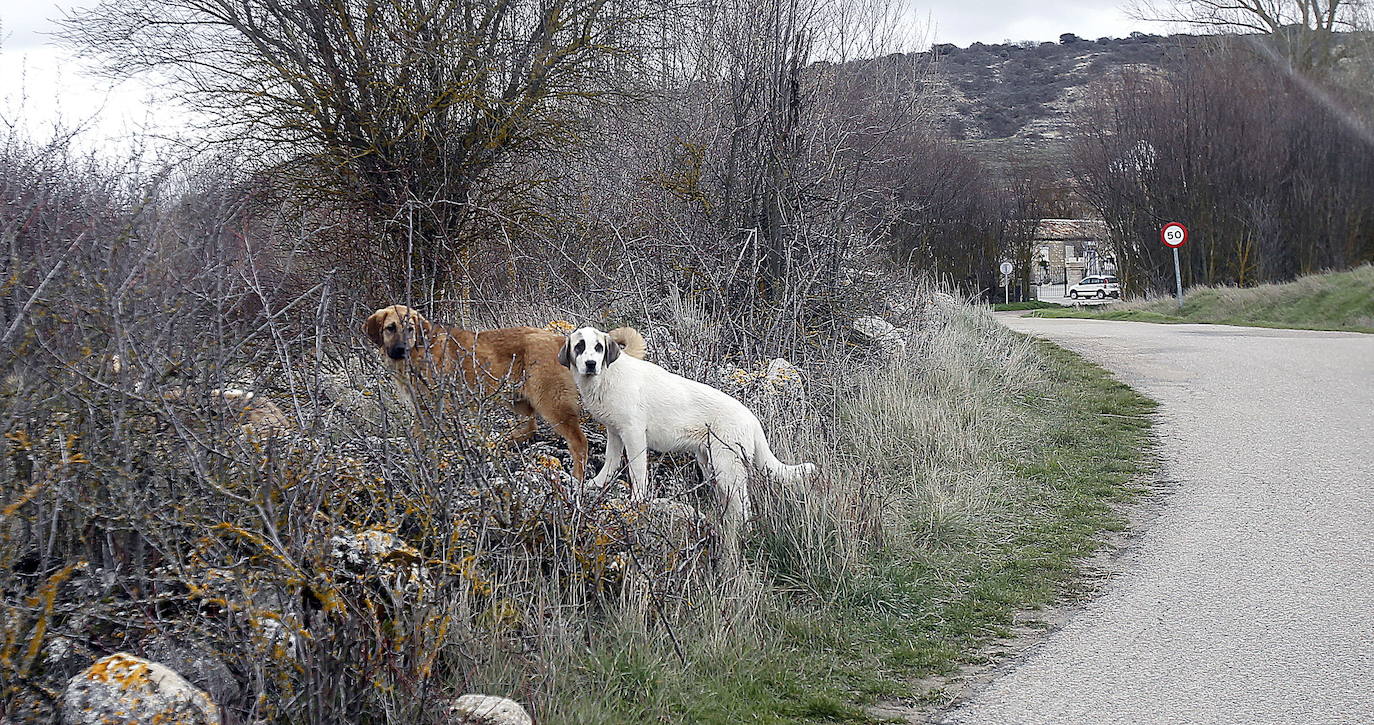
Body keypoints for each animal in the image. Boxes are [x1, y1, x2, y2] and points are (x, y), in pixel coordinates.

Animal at [362, 303, 645, 477]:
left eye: (410, 328)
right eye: (390, 328)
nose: (400, 350)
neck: (420, 351)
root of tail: (561, 339)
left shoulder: (444, 409)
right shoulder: (423, 412)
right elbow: (420, 442)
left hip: (550, 404)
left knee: (578, 442)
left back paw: (576, 479)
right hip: (517, 399)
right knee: (529, 428)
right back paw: (500, 442)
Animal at [560, 326, 813, 538]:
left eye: (599, 347)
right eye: (579, 346)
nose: (591, 364)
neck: (607, 376)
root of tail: (751, 418)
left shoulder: (633, 434)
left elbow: (637, 472)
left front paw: (637, 501)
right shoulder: (615, 433)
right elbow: (609, 465)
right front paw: (594, 485)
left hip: (727, 468)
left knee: (744, 506)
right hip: (711, 465)